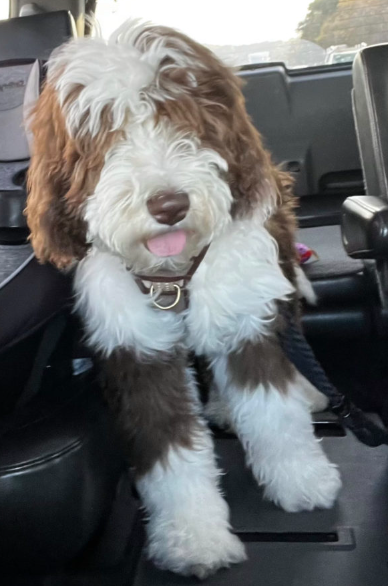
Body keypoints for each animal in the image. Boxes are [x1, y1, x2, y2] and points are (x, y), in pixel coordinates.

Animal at [25, 20, 340, 576]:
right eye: (106, 132)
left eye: (185, 121)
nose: (169, 204)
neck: (174, 278)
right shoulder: (136, 348)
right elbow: (168, 448)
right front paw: (194, 538)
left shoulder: (244, 316)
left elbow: (274, 411)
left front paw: (302, 480)